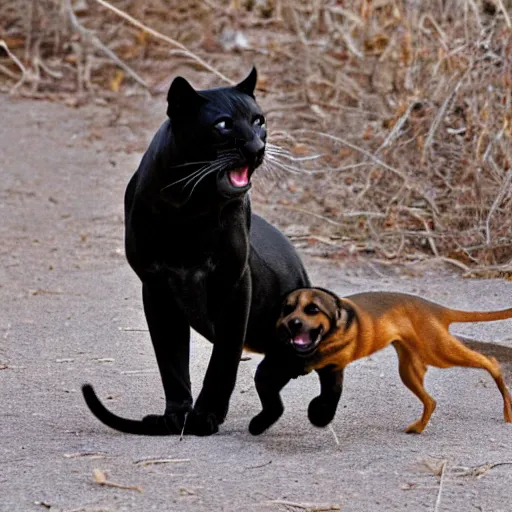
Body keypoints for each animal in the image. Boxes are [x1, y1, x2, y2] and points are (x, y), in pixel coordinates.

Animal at [249, 286, 512, 434]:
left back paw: (505, 401)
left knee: (489, 361)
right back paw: (418, 427)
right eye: (287, 309)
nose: (291, 324)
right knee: (431, 401)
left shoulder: (332, 360)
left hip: (439, 351)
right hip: (409, 369)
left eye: (312, 309)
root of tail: (434, 308)